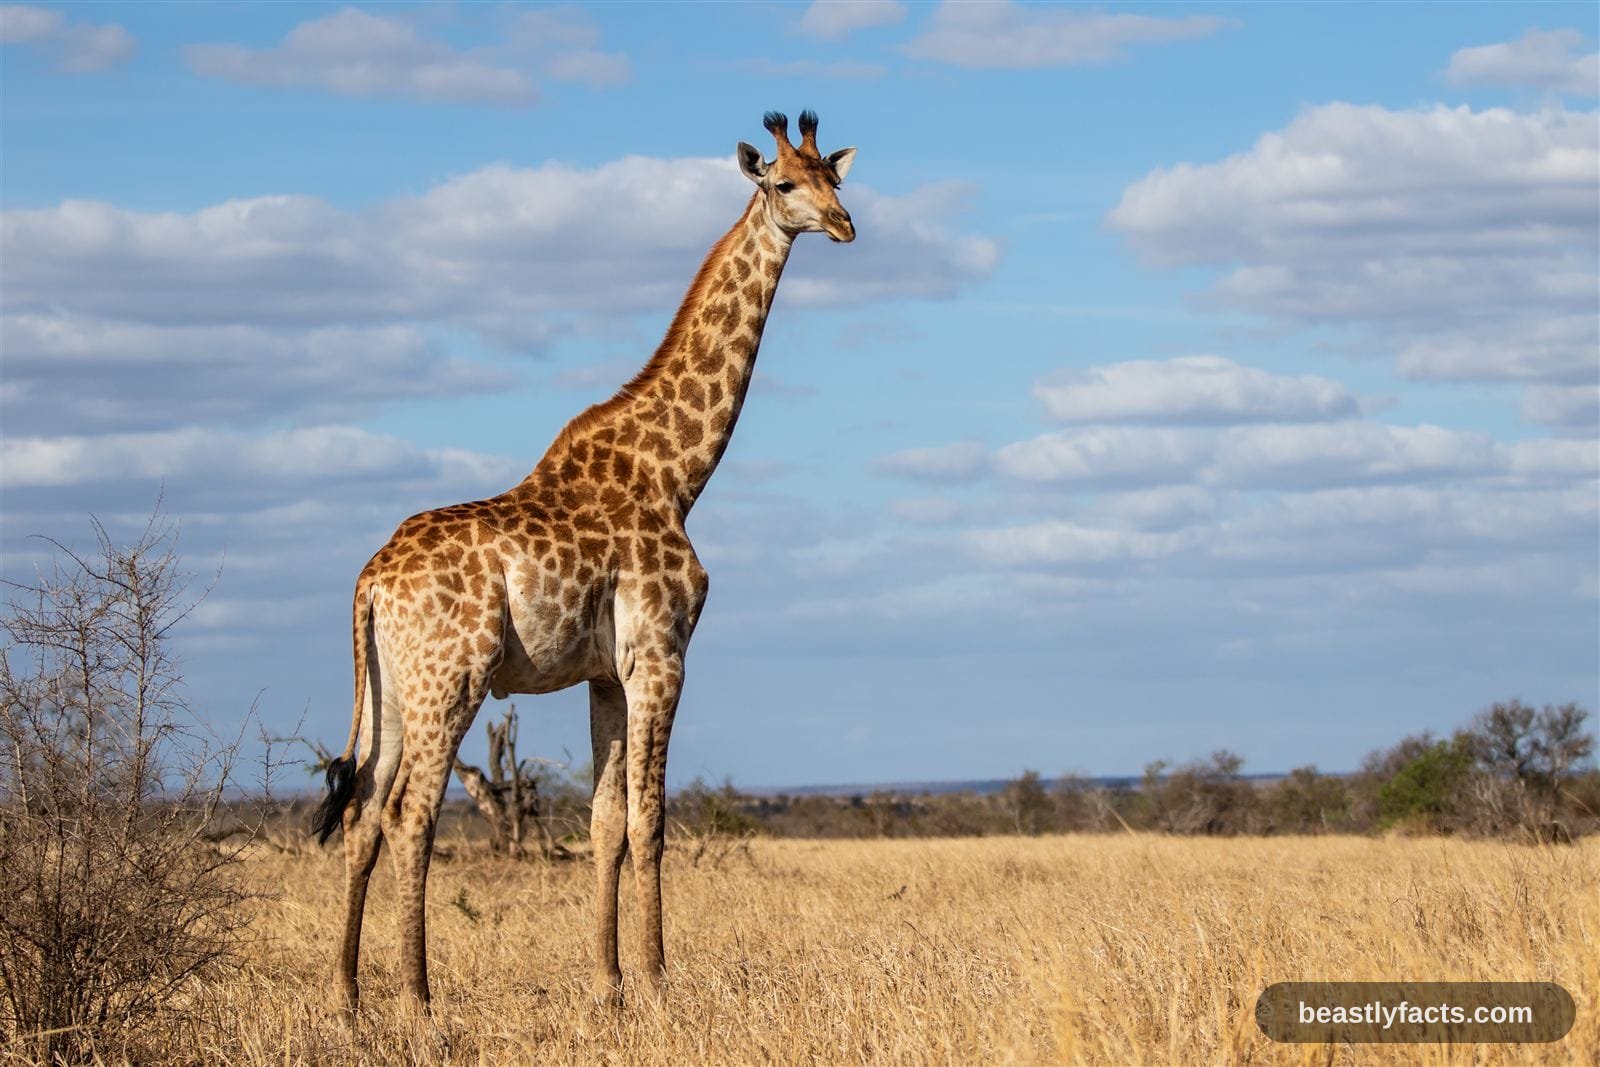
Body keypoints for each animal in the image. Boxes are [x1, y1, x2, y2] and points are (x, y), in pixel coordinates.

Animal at [310, 110, 856, 1016]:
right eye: (784, 184)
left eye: (837, 178)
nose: (846, 225)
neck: (675, 473)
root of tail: (369, 582)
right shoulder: (662, 653)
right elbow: (650, 819)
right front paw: (660, 979)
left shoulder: (606, 671)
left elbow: (604, 822)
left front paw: (609, 984)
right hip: (450, 677)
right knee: (410, 812)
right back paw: (417, 999)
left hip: (388, 686)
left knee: (360, 812)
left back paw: (348, 998)